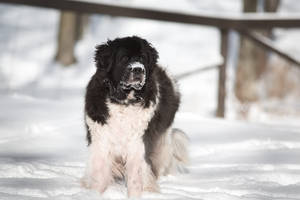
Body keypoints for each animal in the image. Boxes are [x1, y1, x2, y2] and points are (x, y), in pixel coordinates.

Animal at [81, 35, 189, 197]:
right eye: (124, 58)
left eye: (142, 58)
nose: (138, 69)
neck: (123, 102)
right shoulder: (101, 140)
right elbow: (99, 175)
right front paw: (95, 194)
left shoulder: (138, 144)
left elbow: (136, 177)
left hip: (162, 144)